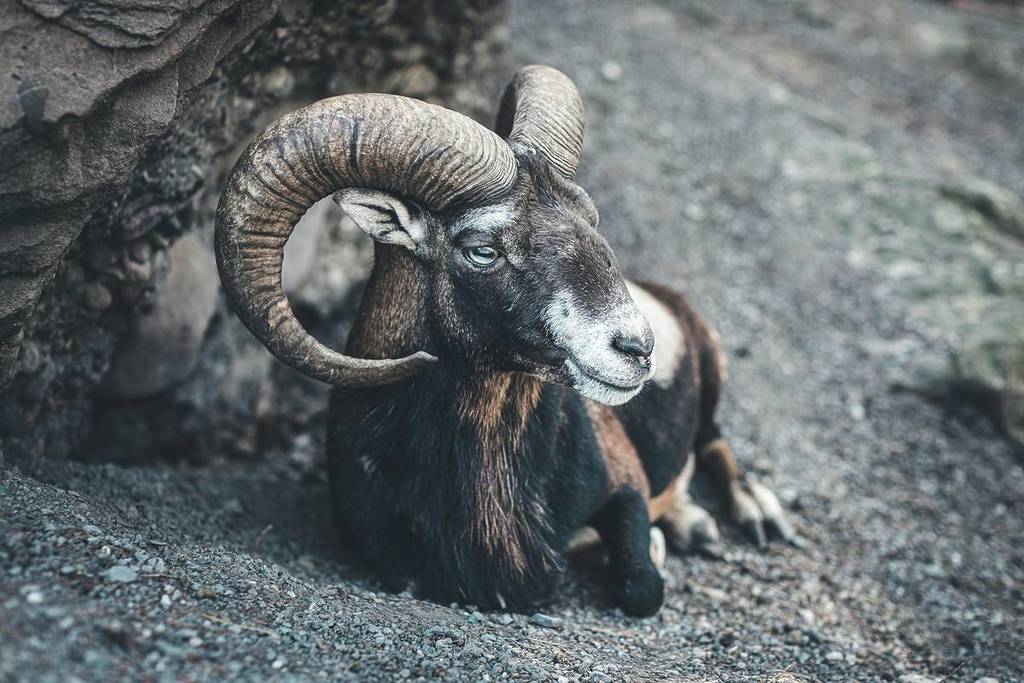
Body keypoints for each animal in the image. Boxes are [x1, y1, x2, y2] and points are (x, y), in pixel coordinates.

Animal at [215, 65, 796, 616]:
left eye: (590, 217)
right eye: (482, 249)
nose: (636, 349)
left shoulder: (626, 483)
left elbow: (640, 587)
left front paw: (649, 547)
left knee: (715, 438)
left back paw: (755, 516)